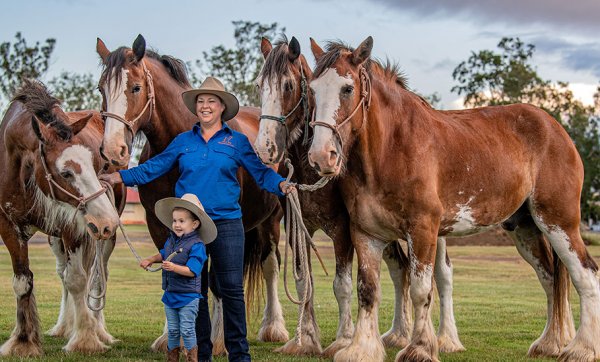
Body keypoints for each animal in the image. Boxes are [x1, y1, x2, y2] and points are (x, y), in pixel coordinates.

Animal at [0, 80, 124, 356]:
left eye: (94, 164)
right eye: (66, 173)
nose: (107, 220)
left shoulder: (73, 228)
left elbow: (78, 280)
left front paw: (86, 340)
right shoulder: (9, 227)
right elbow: (23, 282)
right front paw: (23, 341)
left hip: (101, 240)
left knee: (97, 276)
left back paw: (99, 330)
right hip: (58, 238)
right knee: (63, 273)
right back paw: (64, 327)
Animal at [253, 36, 418, 356]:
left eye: (288, 85)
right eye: (258, 85)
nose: (265, 148)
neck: (310, 169)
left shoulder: (342, 230)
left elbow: (341, 285)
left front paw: (343, 339)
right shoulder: (298, 228)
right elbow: (304, 283)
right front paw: (305, 338)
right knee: (400, 270)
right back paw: (396, 334)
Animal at [308, 37, 592, 362]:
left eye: (347, 88)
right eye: (312, 89)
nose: (321, 156)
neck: (391, 150)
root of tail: (556, 128)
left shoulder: (422, 230)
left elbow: (421, 290)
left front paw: (419, 348)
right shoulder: (366, 234)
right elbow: (367, 290)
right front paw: (361, 349)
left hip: (559, 223)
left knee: (585, 275)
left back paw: (581, 348)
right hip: (526, 228)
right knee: (550, 279)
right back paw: (549, 343)